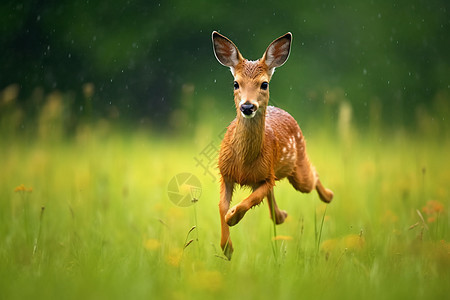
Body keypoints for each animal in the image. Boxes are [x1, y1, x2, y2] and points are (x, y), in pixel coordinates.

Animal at [212, 31, 334, 260]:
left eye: (264, 84)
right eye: (235, 83)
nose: (247, 106)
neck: (244, 163)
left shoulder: (267, 176)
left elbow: (248, 202)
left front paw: (233, 218)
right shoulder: (226, 173)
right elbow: (222, 206)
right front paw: (227, 248)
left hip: (297, 167)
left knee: (312, 175)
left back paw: (329, 196)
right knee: (275, 207)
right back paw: (282, 214)